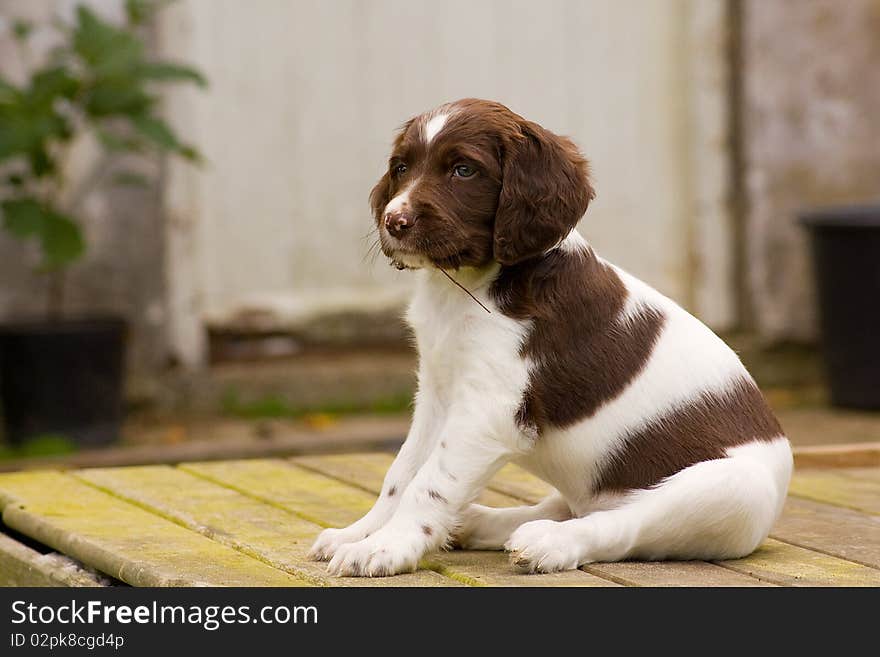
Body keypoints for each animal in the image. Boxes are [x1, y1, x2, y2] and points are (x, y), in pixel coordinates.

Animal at [308, 97, 792, 576]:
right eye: (401, 167)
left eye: (463, 170)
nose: (395, 221)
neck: (471, 285)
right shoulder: (437, 394)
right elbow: (401, 472)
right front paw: (359, 533)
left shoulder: (490, 408)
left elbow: (429, 482)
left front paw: (385, 547)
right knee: (567, 506)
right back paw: (474, 523)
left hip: (731, 486)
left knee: (619, 525)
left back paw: (548, 543)